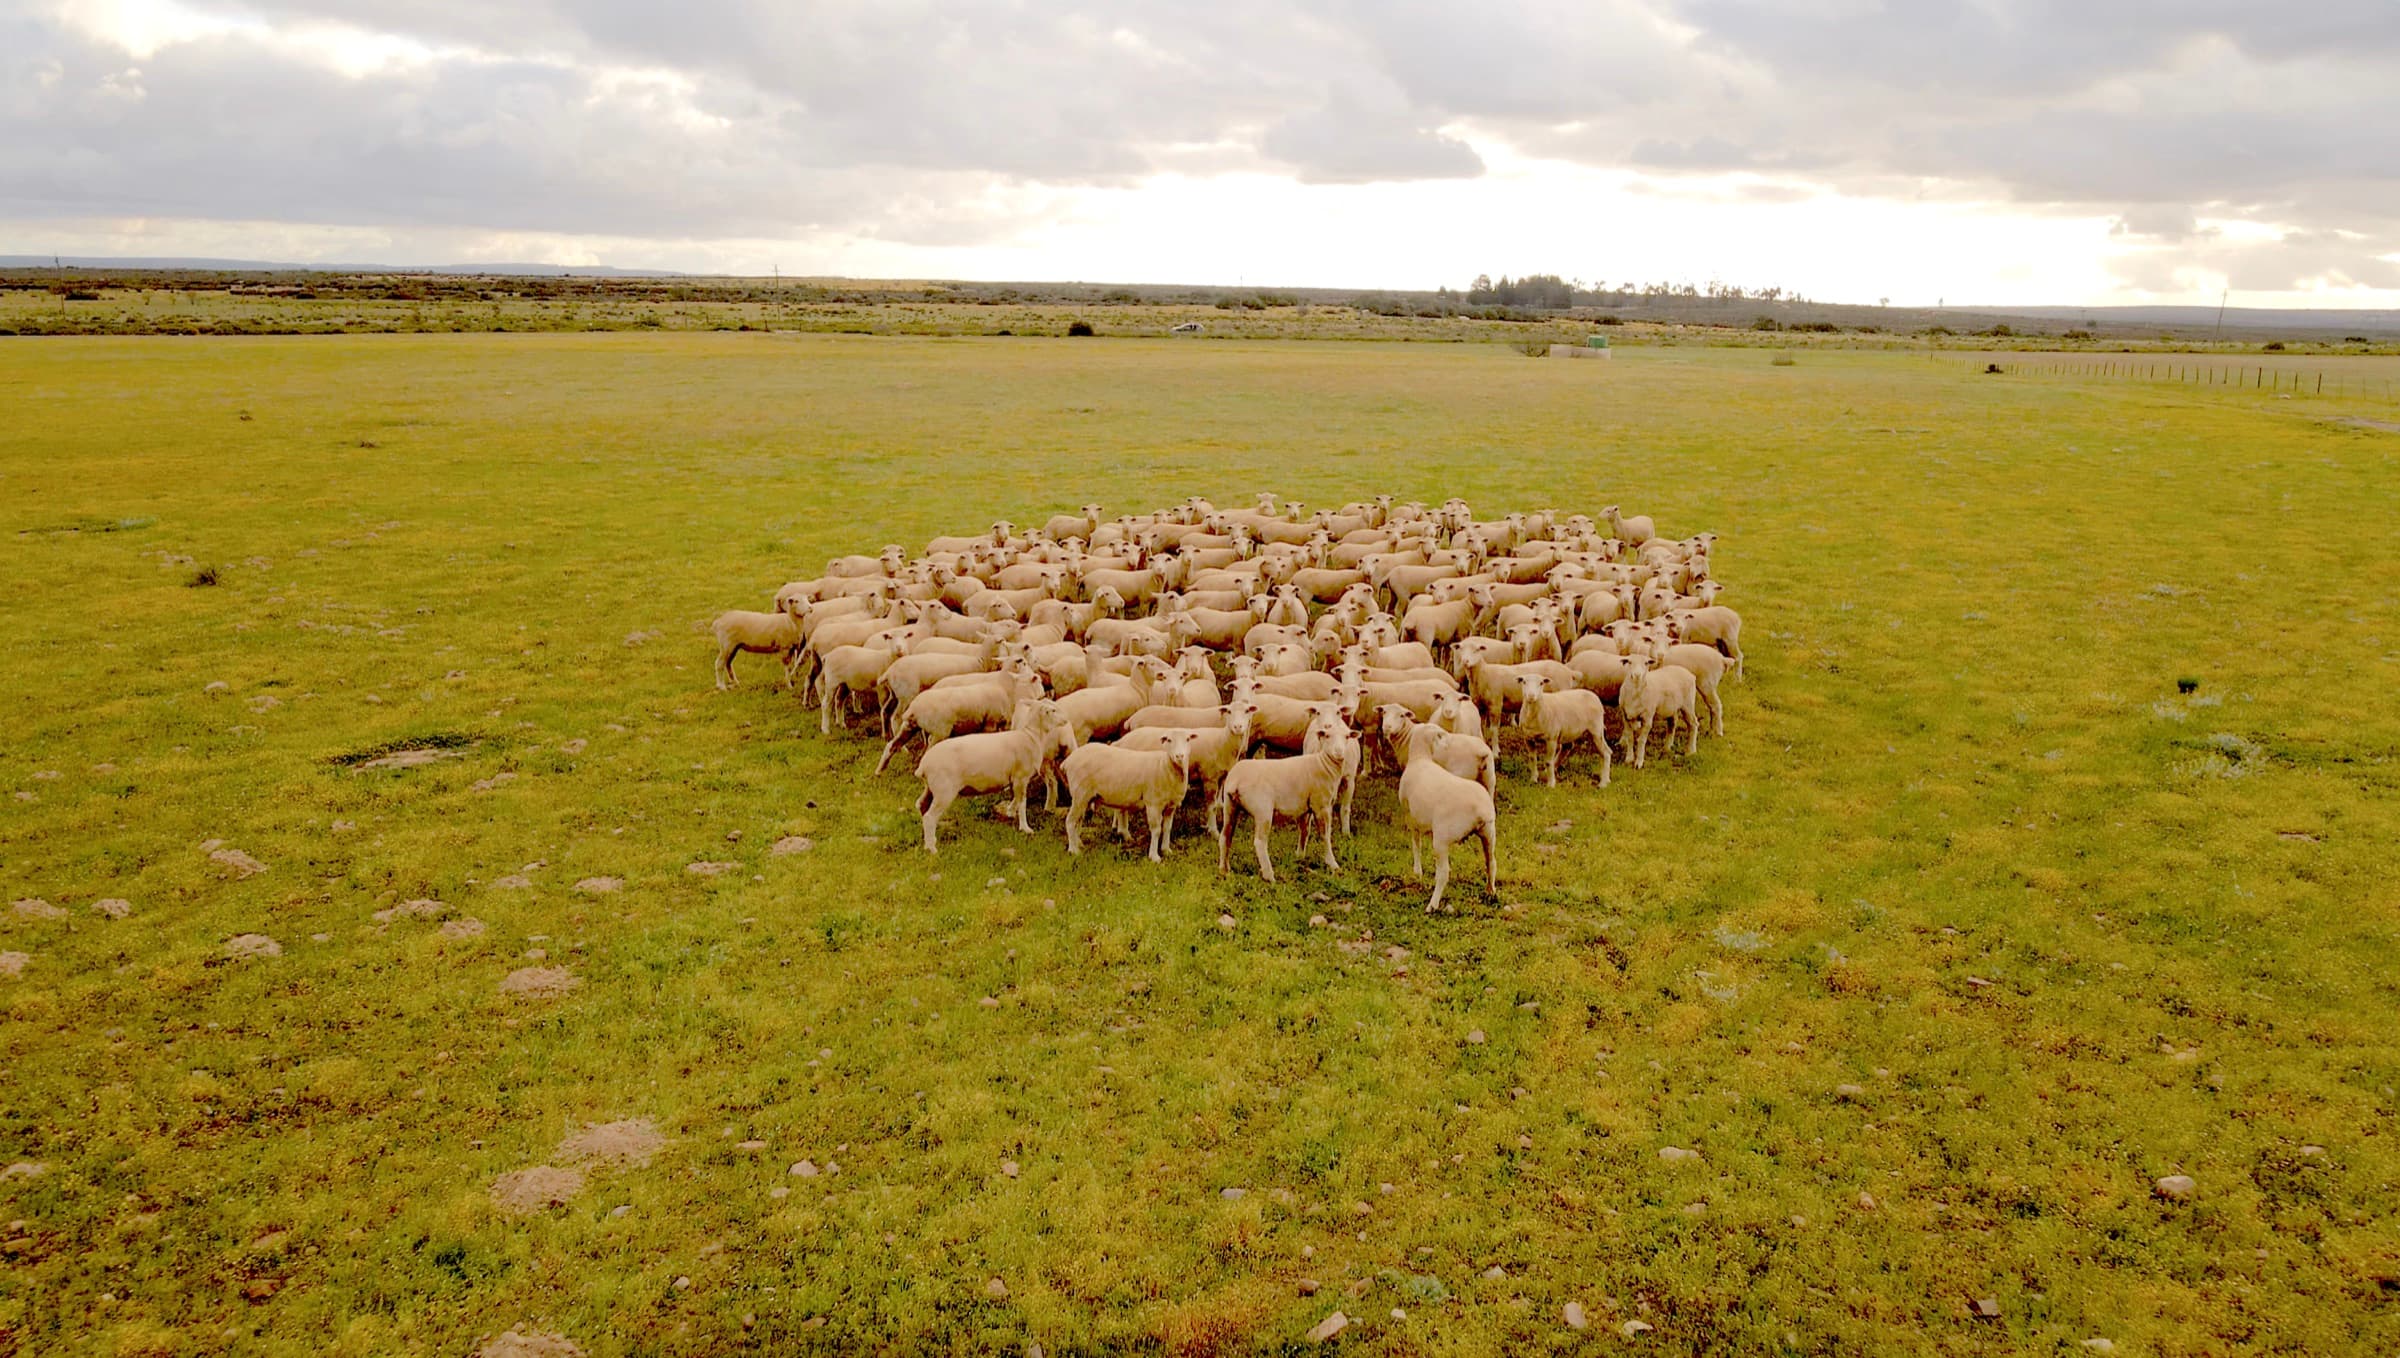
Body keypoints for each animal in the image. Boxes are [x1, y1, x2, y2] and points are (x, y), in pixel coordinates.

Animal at [914, 700, 1075, 853]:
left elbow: (1017, 798)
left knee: (921, 806)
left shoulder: (1016, 779)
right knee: (929, 817)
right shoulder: (1021, 777)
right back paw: (932, 849)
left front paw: (1010, 811)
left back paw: (928, 842)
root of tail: (924, 765)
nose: (1066, 720)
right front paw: (1025, 828)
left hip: (931, 788)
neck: (1031, 736)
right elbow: (1022, 802)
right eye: (1052, 710)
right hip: (944, 791)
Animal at [1062, 732, 1199, 861]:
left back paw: (1079, 844)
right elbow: (1156, 830)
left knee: (1078, 820)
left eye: (1188, 739)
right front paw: (1154, 856)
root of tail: (1068, 761)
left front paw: (1166, 850)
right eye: (1169, 740)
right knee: (1070, 821)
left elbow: (1167, 828)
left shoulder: (1171, 806)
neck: (1164, 765)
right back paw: (1073, 850)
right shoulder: (1153, 803)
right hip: (1079, 794)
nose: (1180, 756)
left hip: (1085, 797)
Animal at [1396, 722, 1498, 914]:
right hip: (1489, 832)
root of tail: (1480, 809)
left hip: (1442, 838)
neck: (1420, 758)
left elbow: (1416, 843)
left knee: (1443, 873)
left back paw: (1432, 905)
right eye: (1441, 735)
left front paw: (1417, 871)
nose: (1449, 742)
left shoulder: (1410, 816)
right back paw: (1491, 892)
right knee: (1491, 862)